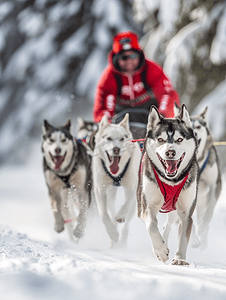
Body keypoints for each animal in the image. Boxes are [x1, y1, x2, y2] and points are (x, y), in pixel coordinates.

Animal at [92, 113, 139, 247]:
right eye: (108, 138)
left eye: (122, 138)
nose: (116, 149)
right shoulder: (100, 190)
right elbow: (104, 216)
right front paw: (112, 233)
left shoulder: (132, 188)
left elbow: (126, 205)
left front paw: (121, 215)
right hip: (111, 195)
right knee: (111, 212)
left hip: (135, 204)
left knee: (127, 222)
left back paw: (122, 241)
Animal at [137, 105, 199, 264]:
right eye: (160, 139)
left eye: (179, 139)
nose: (170, 152)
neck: (171, 181)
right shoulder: (147, 207)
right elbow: (151, 226)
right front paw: (160, 250)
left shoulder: (185, 212)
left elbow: (183, 237)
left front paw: (180, 259)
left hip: (174, 210)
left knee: (167, 225)